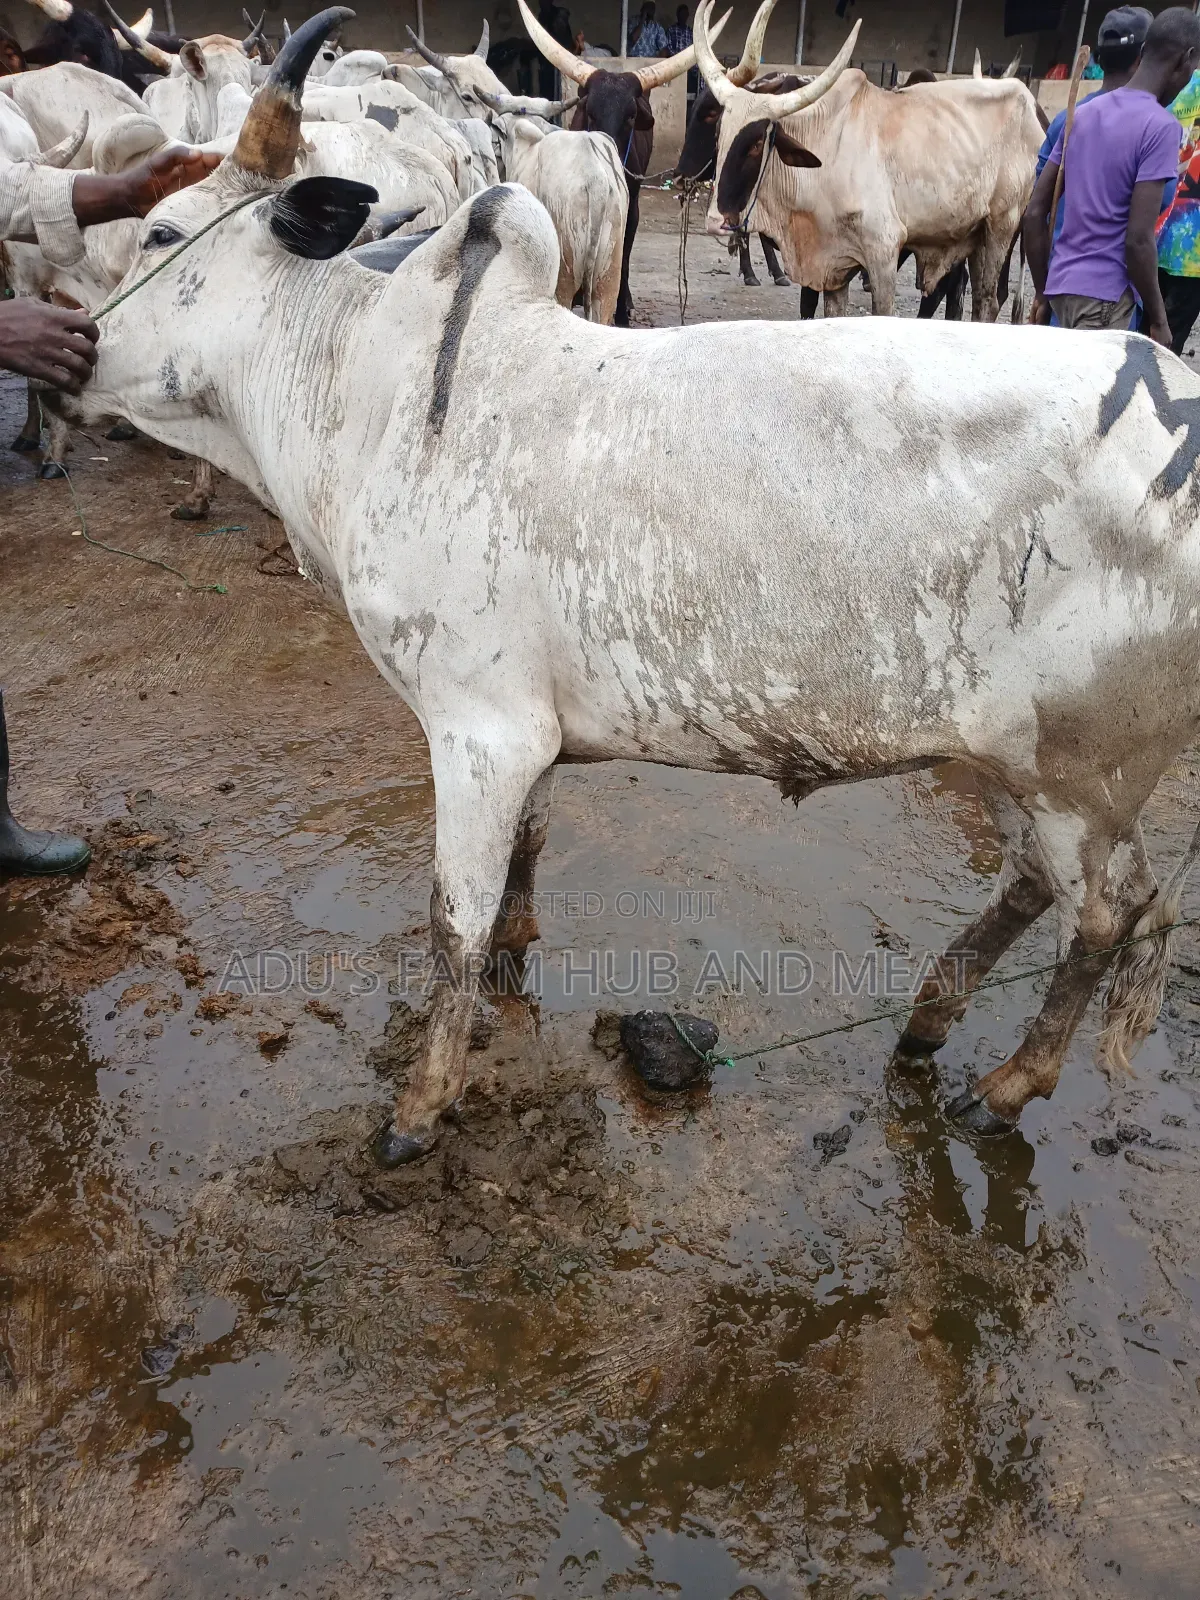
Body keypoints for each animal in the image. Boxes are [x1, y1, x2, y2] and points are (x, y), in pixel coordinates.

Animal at [693, 0, 1041, 320]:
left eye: (756, 143)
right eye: (719, 133)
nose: (715, 221)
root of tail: (1028, 103)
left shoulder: (884, 251)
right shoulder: (833, 268)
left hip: (1001, 227)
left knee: (987, 299)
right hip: (973, 235)